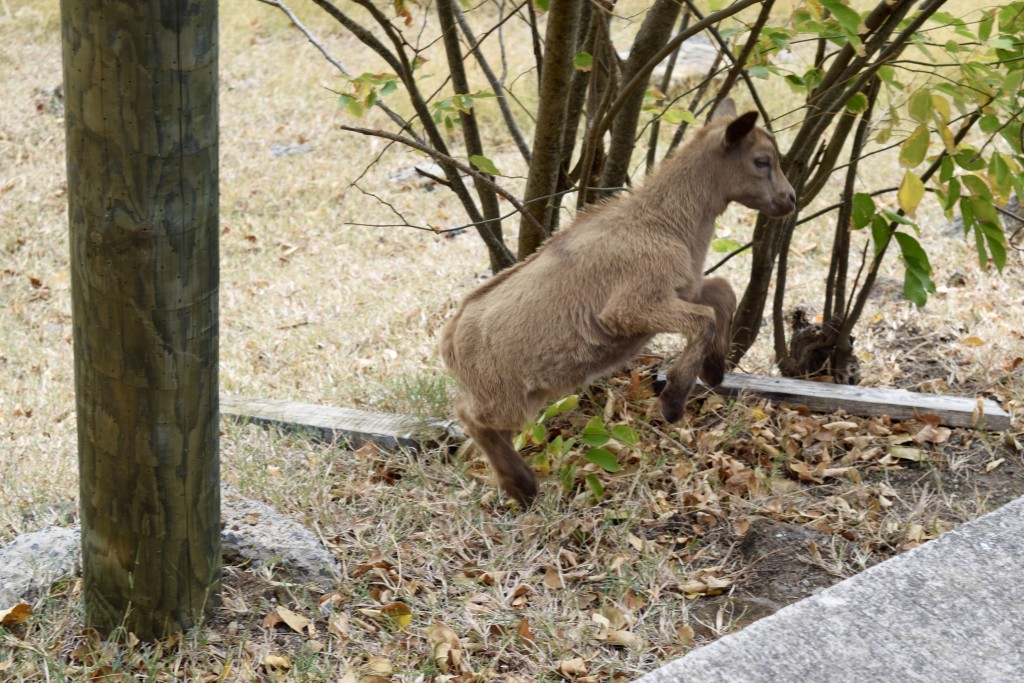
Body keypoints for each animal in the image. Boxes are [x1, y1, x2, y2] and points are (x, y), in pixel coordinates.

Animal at [440, 101, 798, 507]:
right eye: (761, 161)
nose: (791, 199)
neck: (662, 221)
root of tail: (449, 339)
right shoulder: (629, 309)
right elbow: (704, 318)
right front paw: (673, 402)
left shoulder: (683, 289)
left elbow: (723, 292)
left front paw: (714, 370)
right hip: (506, 398)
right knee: (468, 415)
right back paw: (521, 485)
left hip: (526, 396)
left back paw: (520, 484)